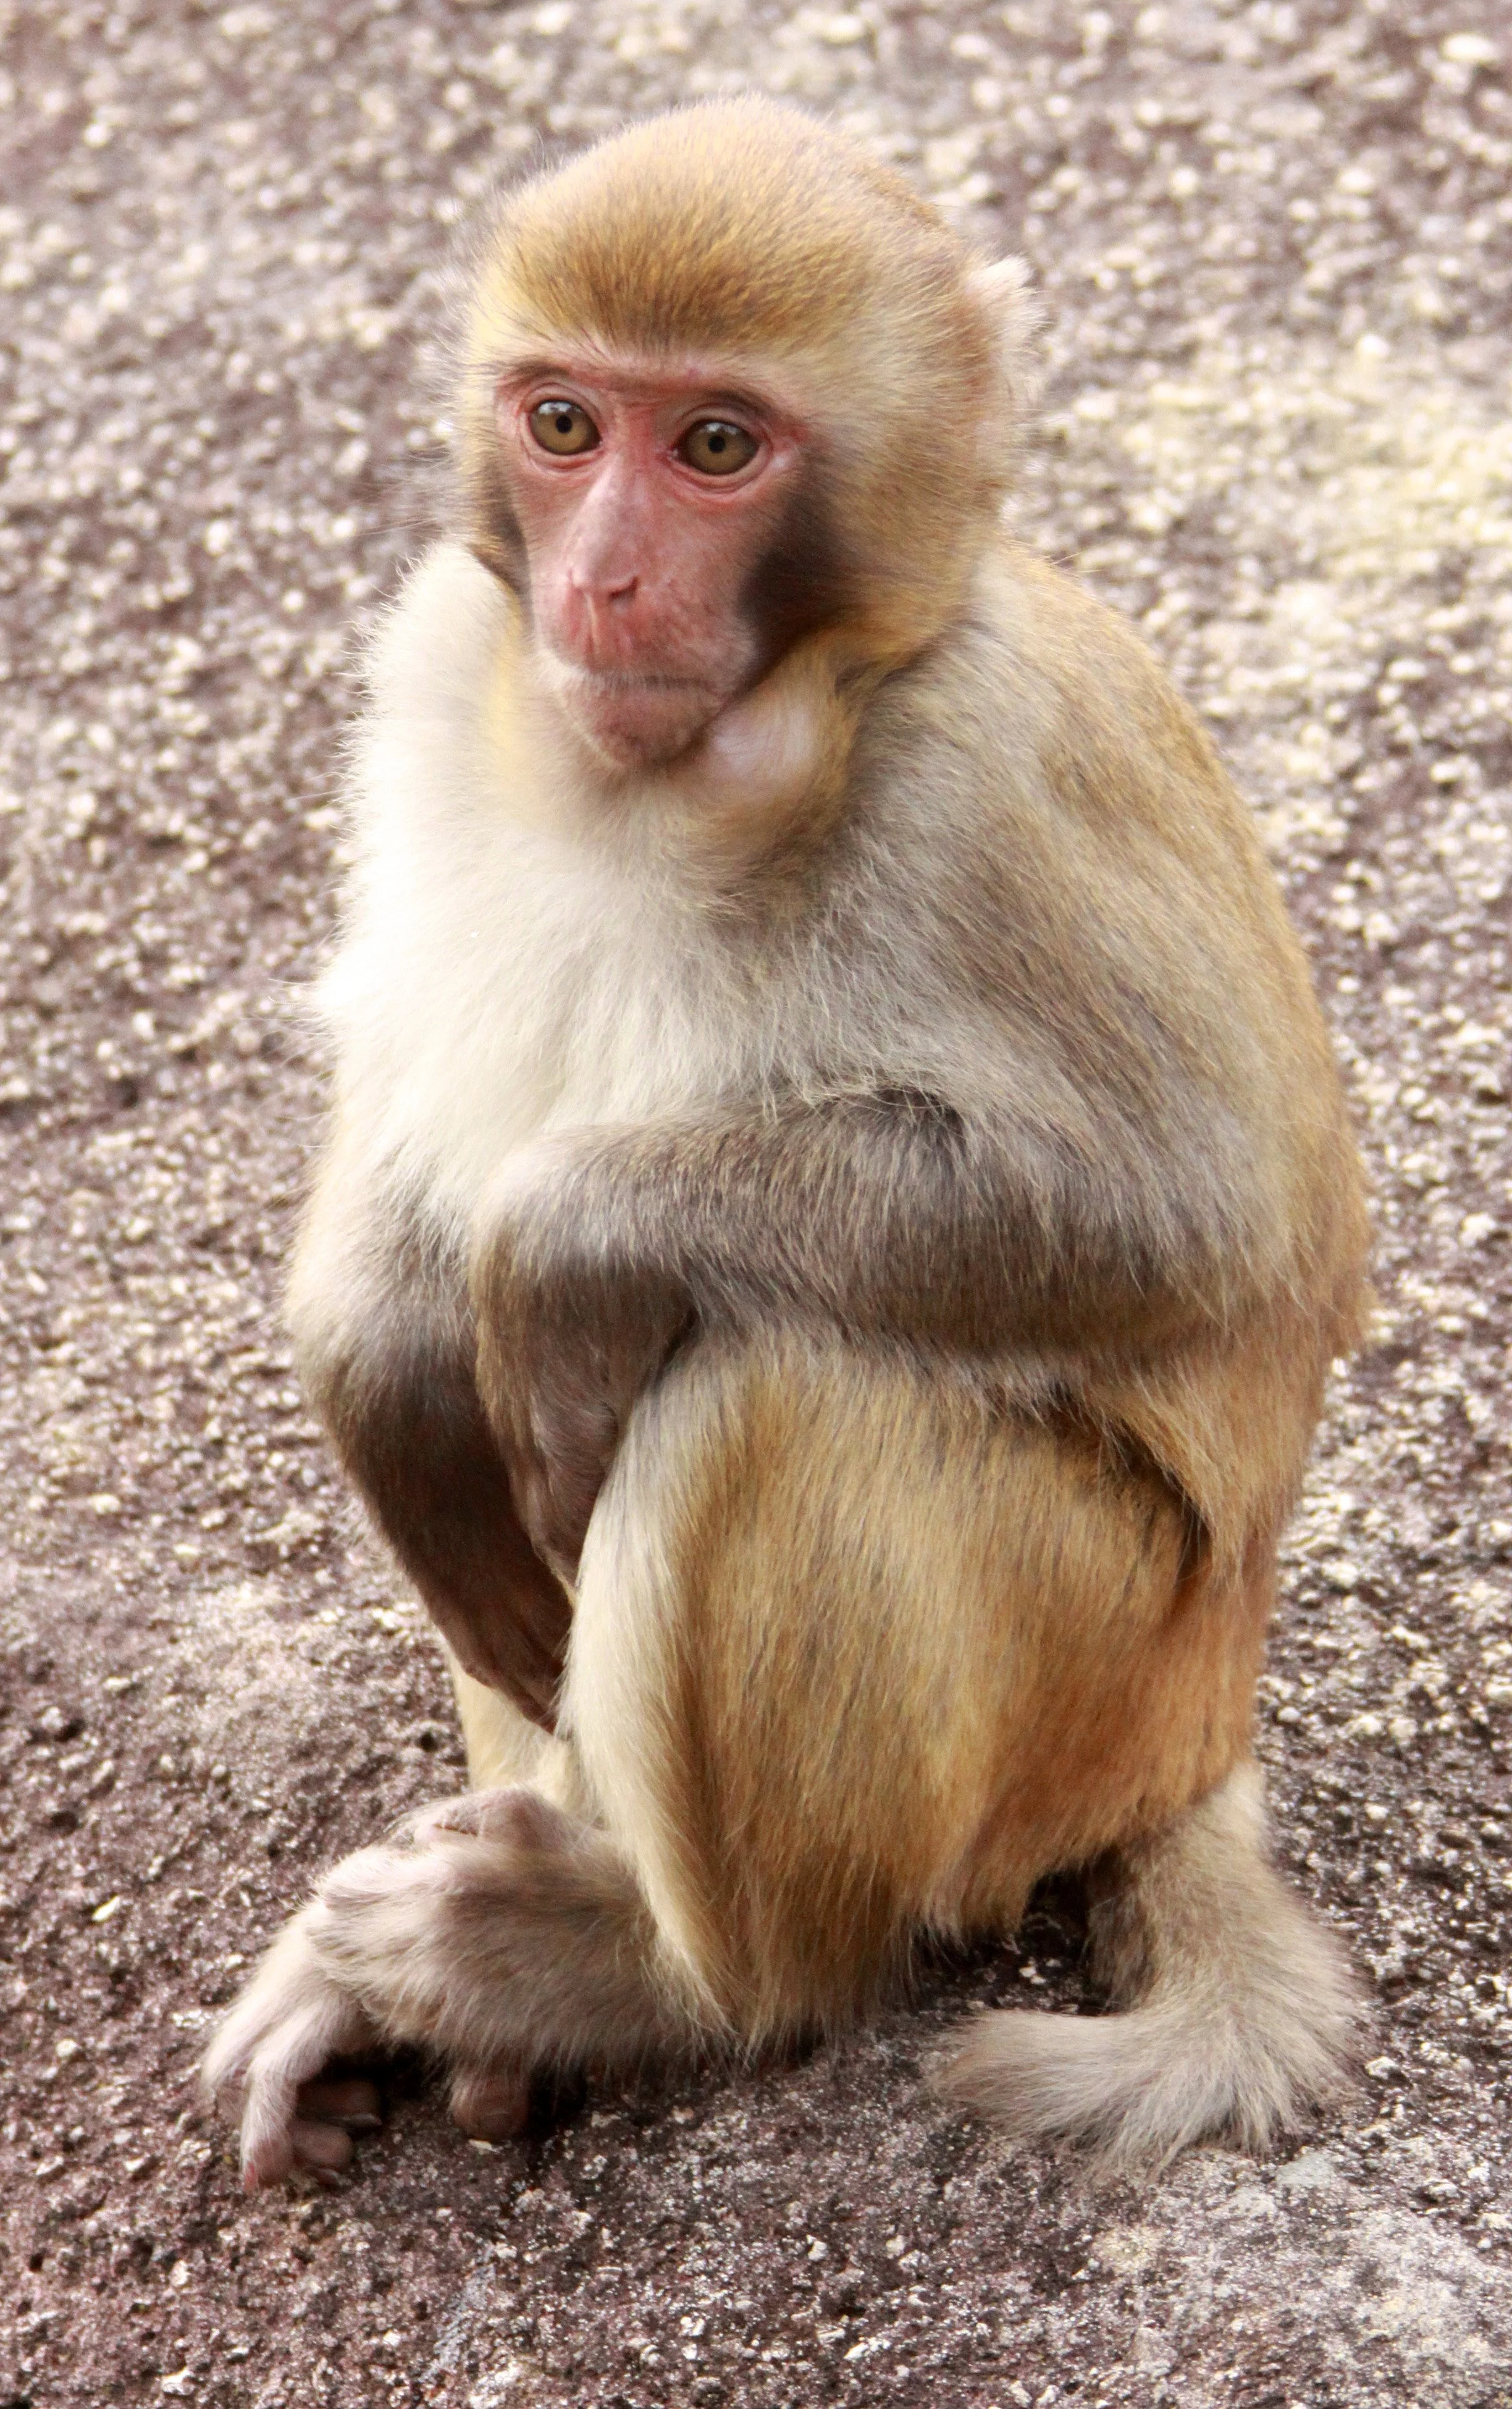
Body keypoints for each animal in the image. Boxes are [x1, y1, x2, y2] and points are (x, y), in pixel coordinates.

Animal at [202, 98, 1370, 2192]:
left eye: (719, 449)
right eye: (565, 425)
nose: (600, 588)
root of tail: (1200, 1726)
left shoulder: (992, 770)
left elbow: (1195, 1213)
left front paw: (556, 1245)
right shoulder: (434, 652)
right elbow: (401, 1097)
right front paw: (379, 1355)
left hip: (1090, 1677)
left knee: (775, 1388)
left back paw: (643, 1976)